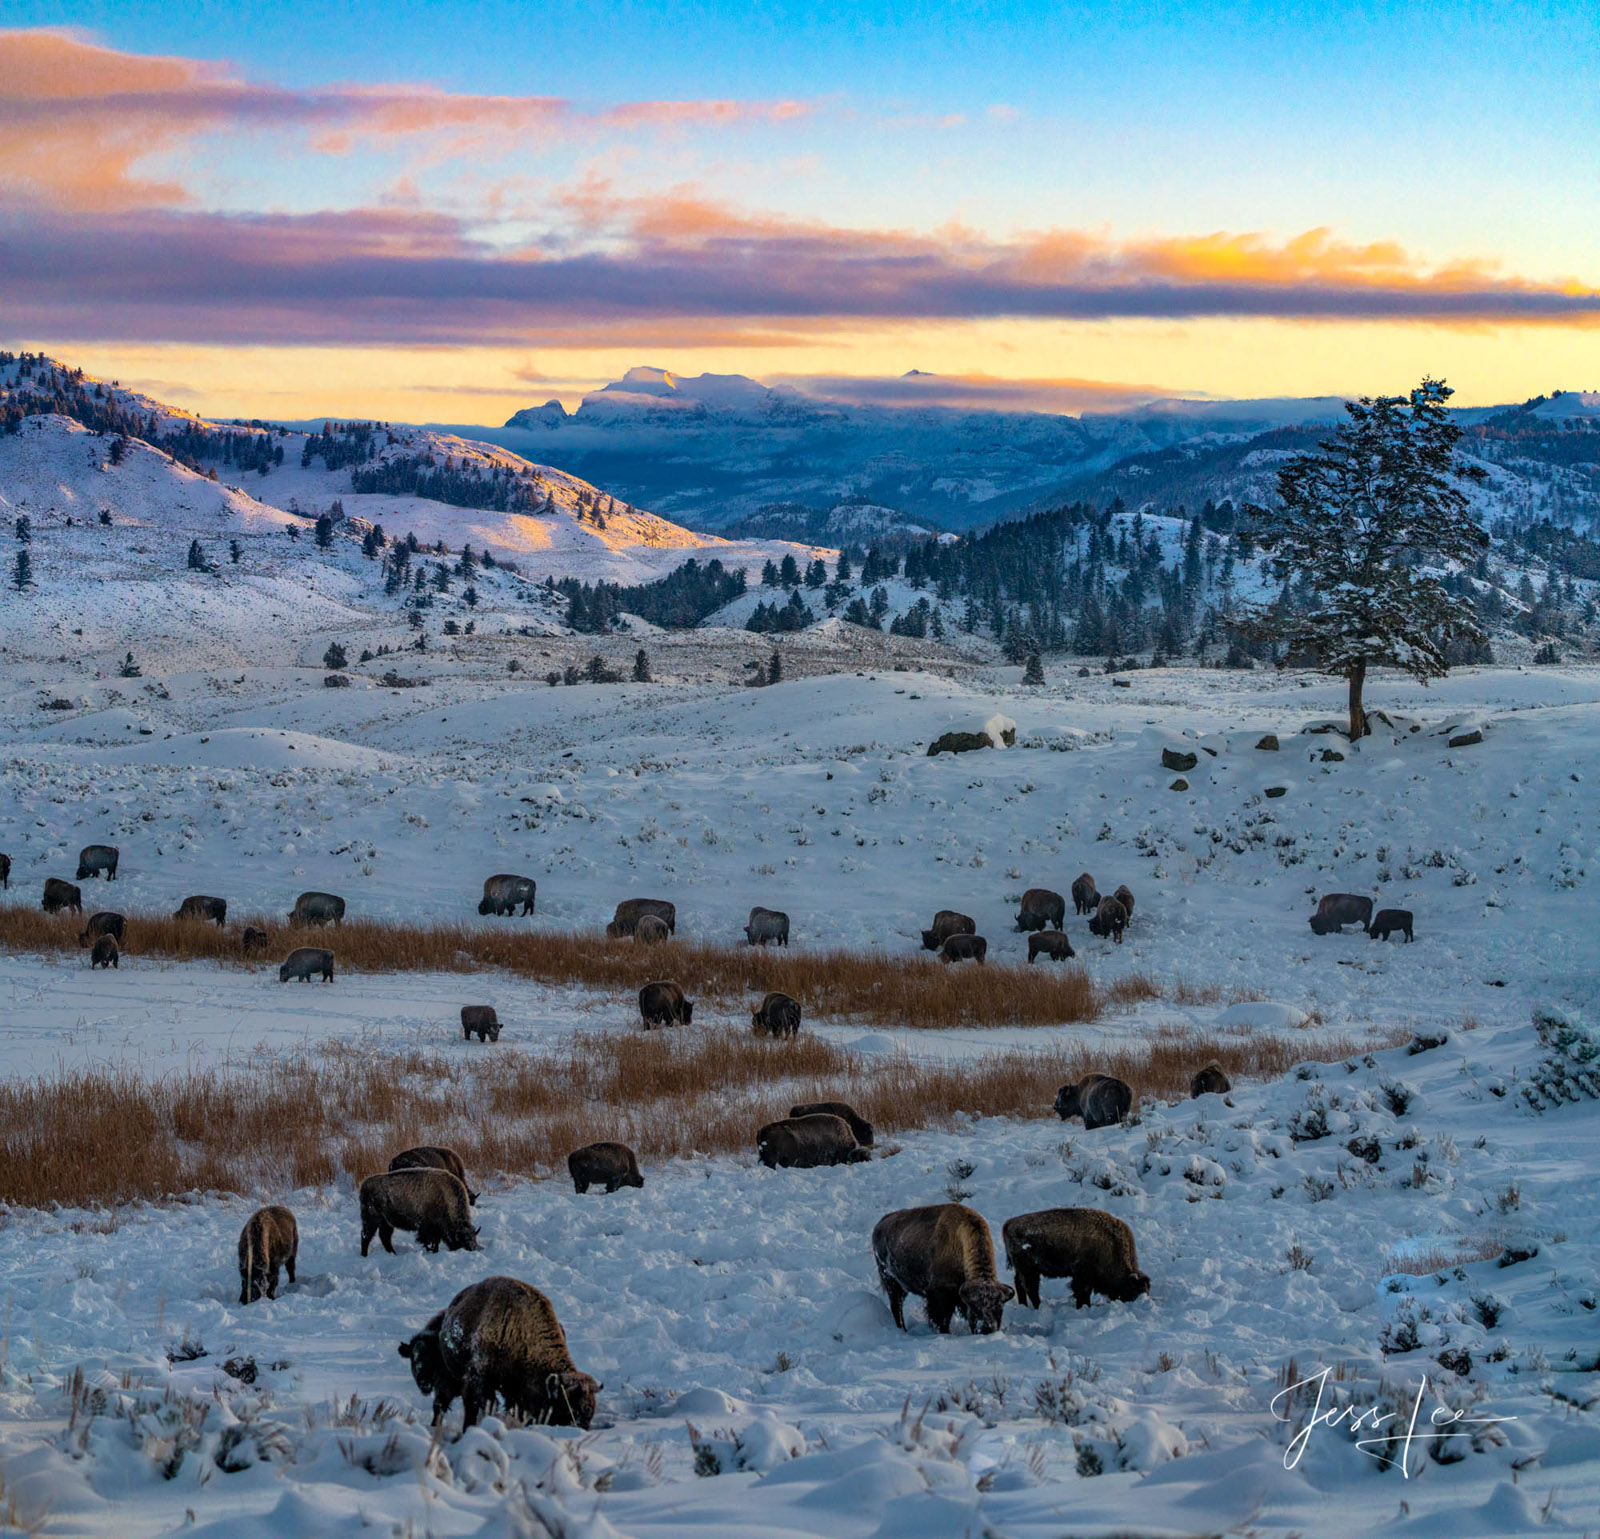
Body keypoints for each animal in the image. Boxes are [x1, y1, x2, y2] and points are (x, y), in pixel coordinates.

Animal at [876, 1203, 1011, 1331]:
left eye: (1000, 1308)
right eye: (975, 1307)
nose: (987, 1328)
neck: (960, 1244)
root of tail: (880, 1224)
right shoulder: (940, 1294)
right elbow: (942, 1320)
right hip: (890, 1281)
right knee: (896, 1306)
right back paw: (903, 1330)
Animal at [998, 1203, 1152, 1299]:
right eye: (1135, 1289)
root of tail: (1008, 1224)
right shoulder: (1083, 1277)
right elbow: (1082, 1293)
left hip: (1023, 1270)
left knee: (1020, 1286)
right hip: (1029, 1271)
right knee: (1031, 1290)